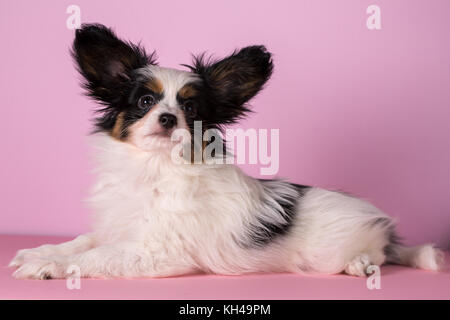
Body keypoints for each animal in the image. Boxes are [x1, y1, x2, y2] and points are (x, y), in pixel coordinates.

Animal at [8, 23, 444, 278]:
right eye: (145, 102)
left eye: (191, 110)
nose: (168, 118)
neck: (155, 168)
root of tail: (380, 223)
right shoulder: (121, 227)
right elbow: (84, 241)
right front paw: (40, 251)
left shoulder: (158, 252)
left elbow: (97, 256)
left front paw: (49, 265)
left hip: (337, 252)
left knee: (381, 256)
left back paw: (361, 264)